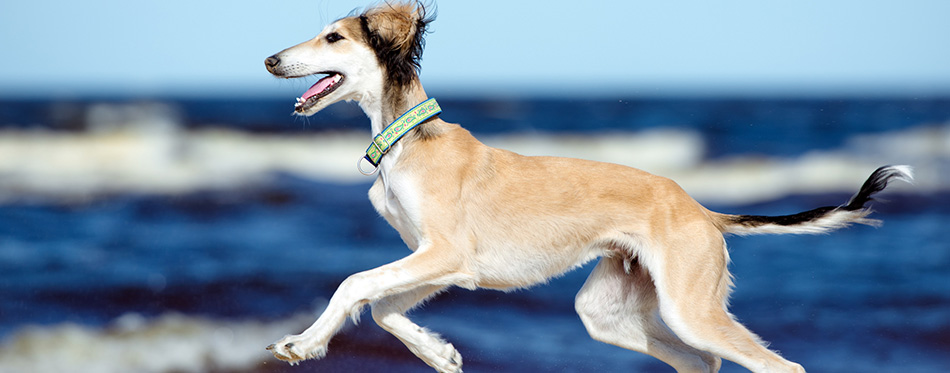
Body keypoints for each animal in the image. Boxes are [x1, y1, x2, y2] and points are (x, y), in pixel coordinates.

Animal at [262, 3, 916, 372]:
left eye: (334, 38)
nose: (269, 60)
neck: (408, 139)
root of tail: (700, 210)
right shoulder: (441, 262)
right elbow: (383, 308)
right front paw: (439, 353)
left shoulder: (445, 252)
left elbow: (354, 286)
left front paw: (301, 344)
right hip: (608, 313)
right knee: (701, 362)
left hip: (688, 308)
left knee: (778, 367)